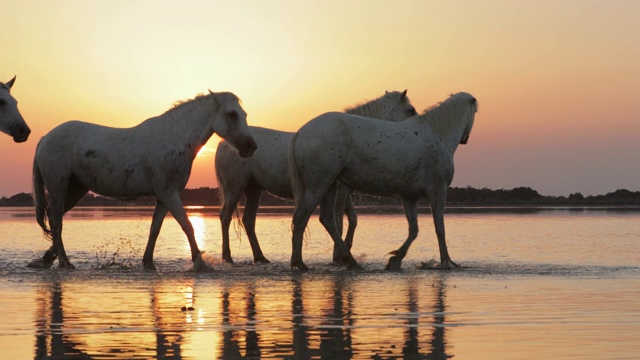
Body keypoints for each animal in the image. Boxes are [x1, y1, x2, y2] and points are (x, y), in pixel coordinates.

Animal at [27, 90, 258, 270]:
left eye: (245, 114)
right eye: (231, 114)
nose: (251, 146)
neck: (175, 138)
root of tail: (45, 139)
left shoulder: (163, 197)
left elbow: (155, 229)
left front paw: (148, 263)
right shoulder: (169, 193)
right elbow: (187, 225)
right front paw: (200, 262)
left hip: (75, 190)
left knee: (55, 219)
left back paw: (48, 259)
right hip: (58, 187)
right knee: (56, 221)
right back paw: (64, 262)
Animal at [214, 90, 416, 264]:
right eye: (410, 110)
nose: (413, 132)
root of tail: (224, 144)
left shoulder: (344, 191)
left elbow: (352, 219)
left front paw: (345, 250)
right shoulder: (340, 191)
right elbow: (339, 220)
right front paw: (339, 257)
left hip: (254, 189)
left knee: (248, 220)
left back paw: (260, 257)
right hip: (236, 187)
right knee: (225, 217)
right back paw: (227, 257)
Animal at [288, 92, 478, 270]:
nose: (466, 139)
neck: (438, 134)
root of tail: (300, 133)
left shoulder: (409, 197)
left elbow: (414, 230)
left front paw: (396, 259)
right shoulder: (438, 192)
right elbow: (440, 228)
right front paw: (446, 261)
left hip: (330, 186)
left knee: (327, 220)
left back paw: (350, 261)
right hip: (319, 186)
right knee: (302, 217)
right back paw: (301, 263)